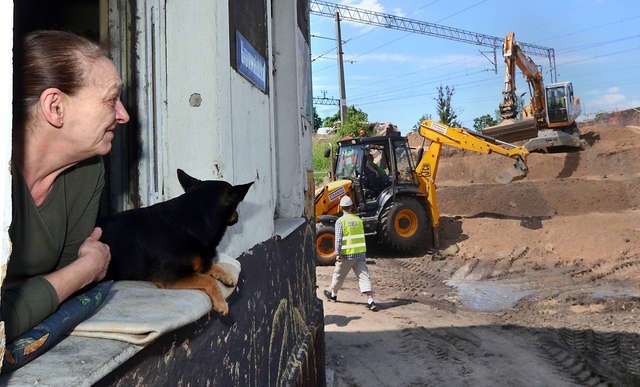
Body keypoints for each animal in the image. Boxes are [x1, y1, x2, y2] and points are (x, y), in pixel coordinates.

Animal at [97, 170, 252, 316]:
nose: (238, 216)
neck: (191, 222)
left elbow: (211, 266)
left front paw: (225, 275)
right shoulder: (171, 276)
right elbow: (208, 280)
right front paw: (221, 303)